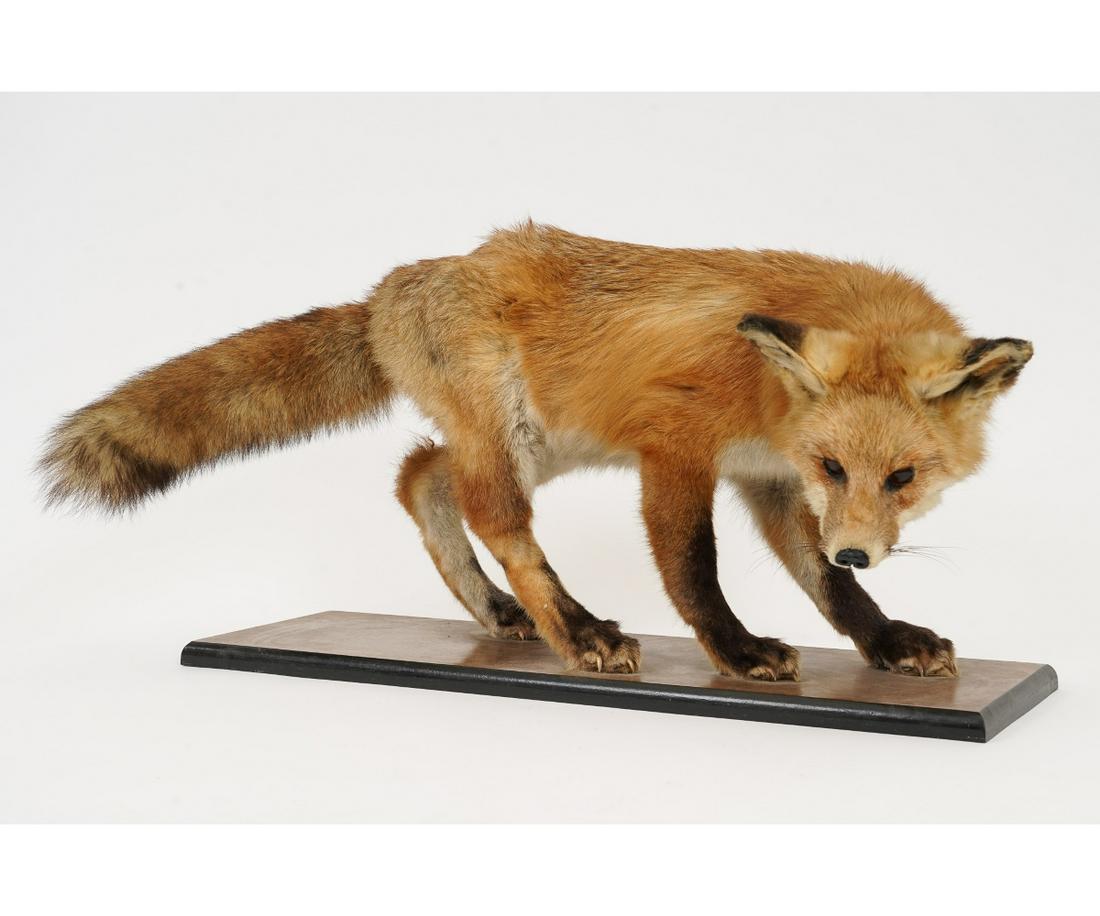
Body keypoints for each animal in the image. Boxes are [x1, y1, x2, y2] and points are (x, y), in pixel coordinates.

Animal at [41, 222, 1033, 681]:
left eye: (903, 477)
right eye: (836, 465)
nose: (864, 545)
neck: (766, 396)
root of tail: (392, 289)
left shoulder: (767, 478)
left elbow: (824, 582)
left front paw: (888, 639)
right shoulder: (678, 447)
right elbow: (694, 569)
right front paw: (736, 651)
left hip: (542, 441)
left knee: (421, 476)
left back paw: (494, 611)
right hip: (513, 439)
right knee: (496, 518)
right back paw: (576, 630)